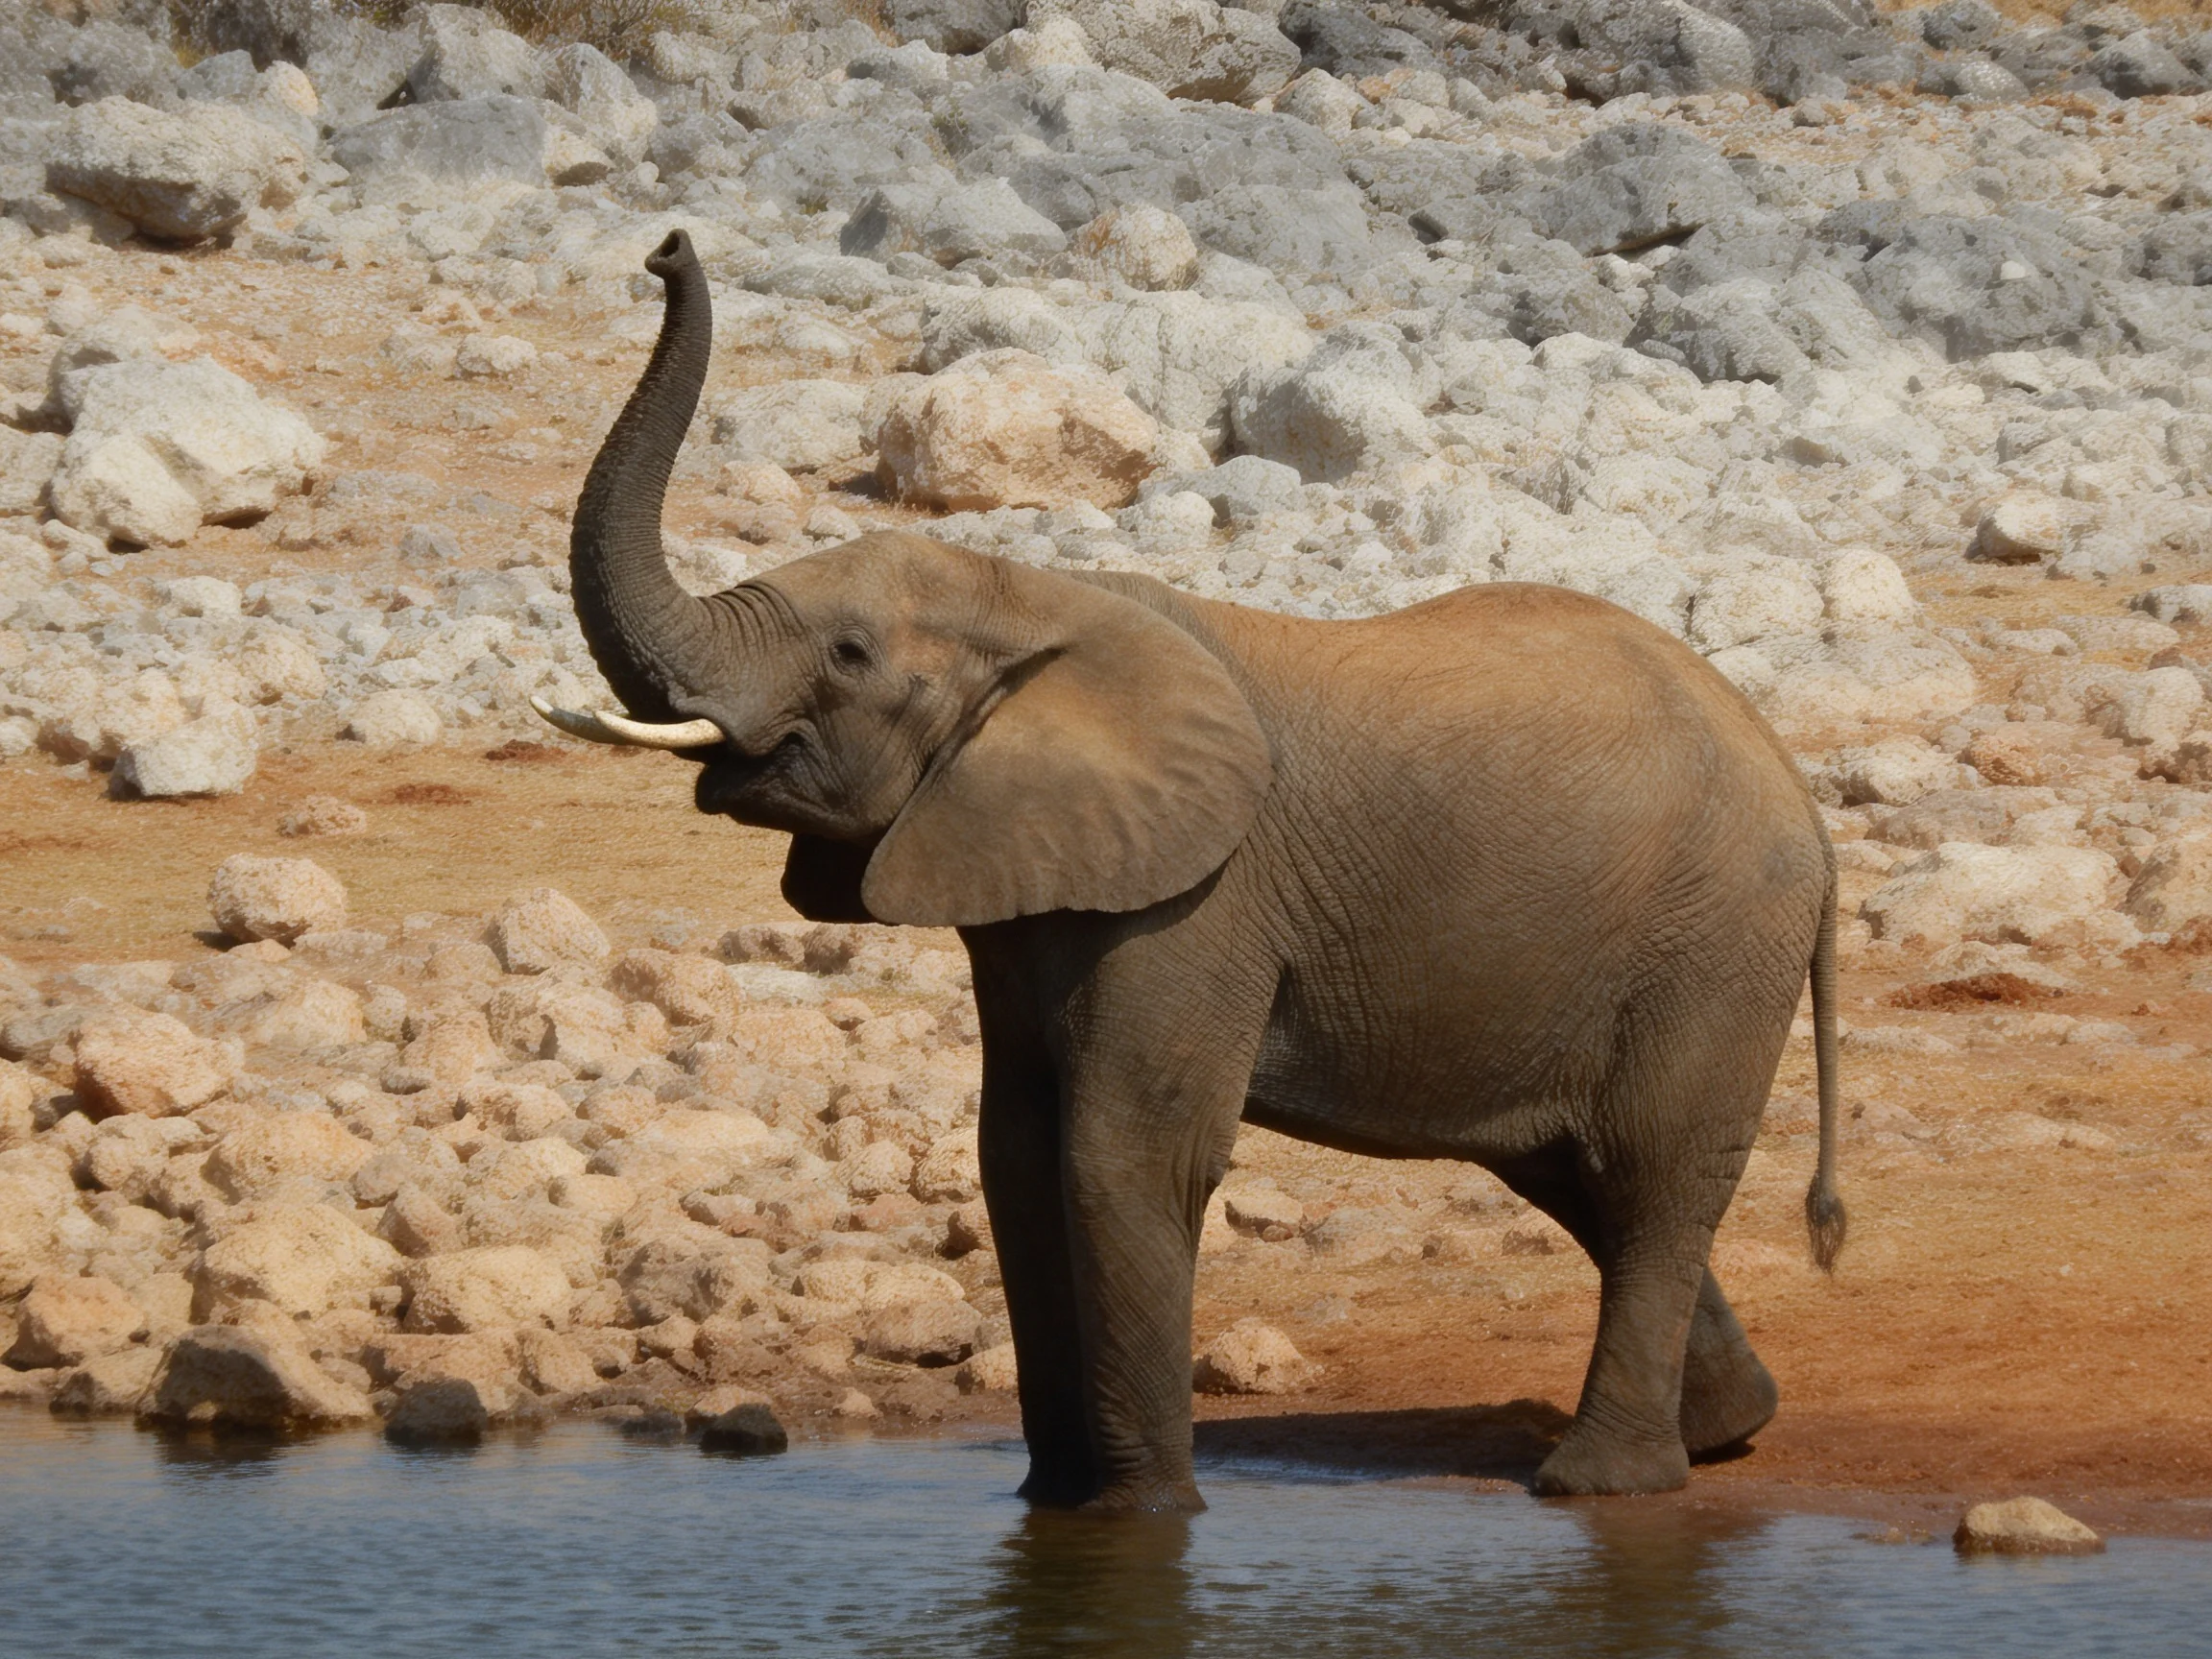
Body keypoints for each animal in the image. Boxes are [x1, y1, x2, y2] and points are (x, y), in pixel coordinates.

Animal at [528, 230, 1846, 1511]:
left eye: (848, 655)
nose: (665, 249)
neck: (1038, 597)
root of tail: (1803, 800)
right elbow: (1015, 1151)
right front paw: (1053, 1506)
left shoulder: (1197, 899)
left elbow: (1123, 1156)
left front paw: (1145, 1518)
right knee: (1574, 1173)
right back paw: (1729, 1428)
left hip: (1715, 943)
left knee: (1651, 1178)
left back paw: (1596, 1483)